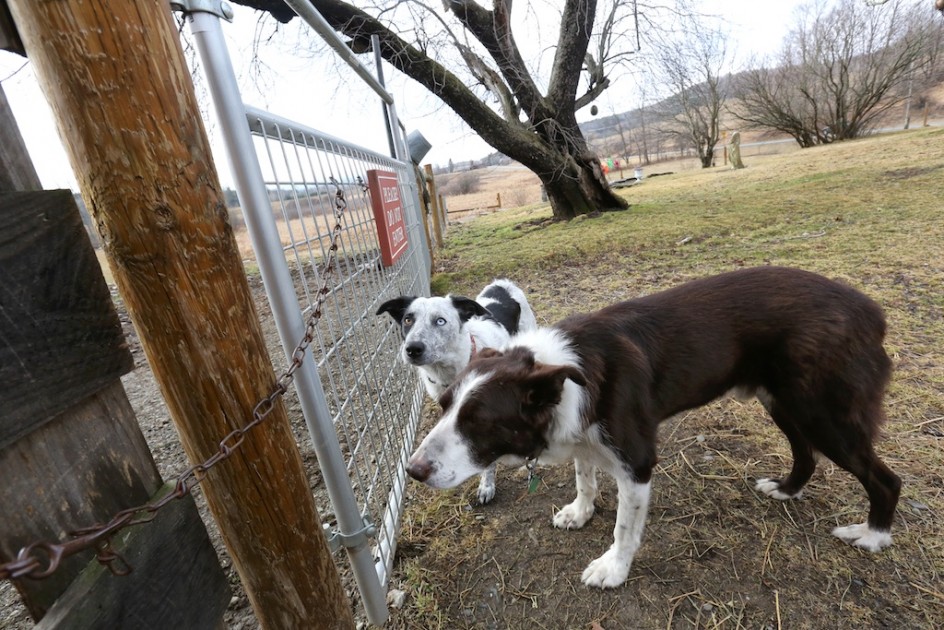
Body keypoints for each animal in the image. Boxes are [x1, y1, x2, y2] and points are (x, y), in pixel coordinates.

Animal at [378, 280, 540, 504]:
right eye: (408, 319)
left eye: (440, 321)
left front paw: (486, 485)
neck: (448, 372)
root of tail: (502, 282)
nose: (412, 349)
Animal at [404, 270, 900, 592]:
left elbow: (624, 528)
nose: (412, 471)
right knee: (805, 453)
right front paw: (580, 512)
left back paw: (873, 536)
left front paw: (612, 570)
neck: (566, 373)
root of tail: (869, 309)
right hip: (783, 402)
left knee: (885, 479)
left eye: (477, 420)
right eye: (444, 406)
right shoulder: (581, 433)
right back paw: (787, 489)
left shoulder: (636, 464)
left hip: (823, 413)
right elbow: (585, 478)